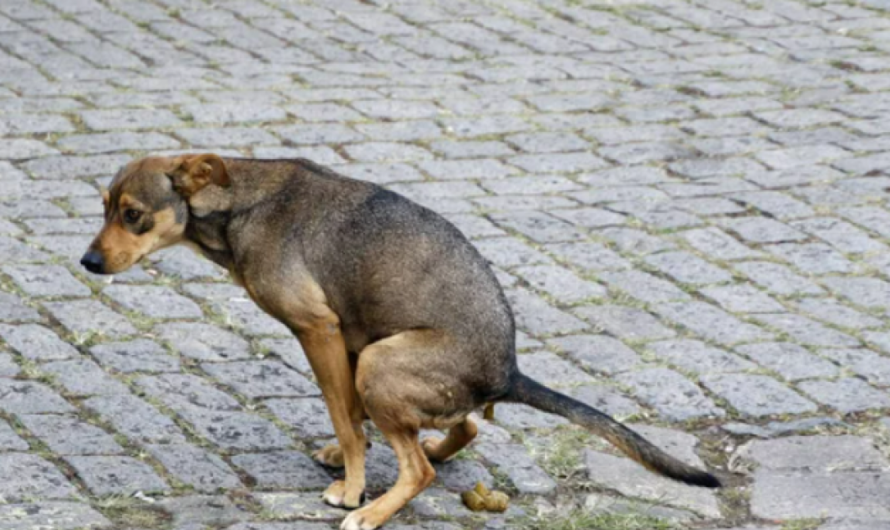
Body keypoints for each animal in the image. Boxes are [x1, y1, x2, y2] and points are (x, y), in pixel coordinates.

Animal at [81, 154, 720, 528]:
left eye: (133, 214)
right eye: (104, 207)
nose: (87, 262)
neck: (239, 203)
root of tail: (508, 372)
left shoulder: (319, 330)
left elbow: (345, 417)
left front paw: (353, 488)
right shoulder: (342, 337)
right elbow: (352, 417)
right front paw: (350, 460)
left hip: (379, 360)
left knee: (421, 470)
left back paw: (376, 509)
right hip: (376, 353)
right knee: (461, 428)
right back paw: (421, 448)